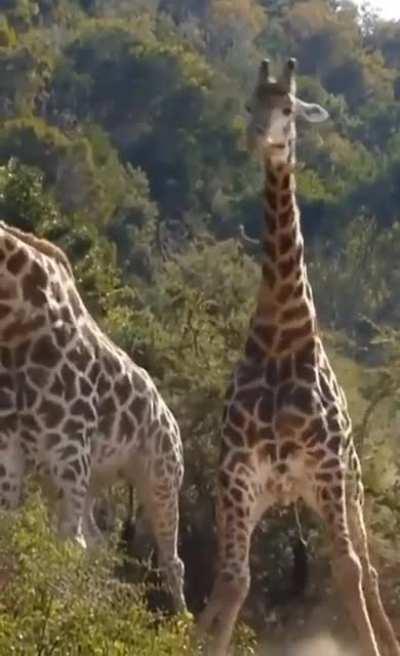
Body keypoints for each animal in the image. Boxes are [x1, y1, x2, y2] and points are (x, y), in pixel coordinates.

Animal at [0, 221, 186, 612]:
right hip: (94, 478)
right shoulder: (9, 449)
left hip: (160, 477)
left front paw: (58, 612)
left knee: (170, 560)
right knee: (98, 543)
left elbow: (68, 546)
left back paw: (184, 623)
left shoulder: (68, 453)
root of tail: (174, 424)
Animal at [197, 59, 400, 656]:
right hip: (272, 494)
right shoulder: (237, 474)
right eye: (249, 103)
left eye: (288, 107)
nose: (256, 137)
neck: (281, 336)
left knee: (366, 569)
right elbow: (232, 580)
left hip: (349, 487)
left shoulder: (328, 468)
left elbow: (349, 570)